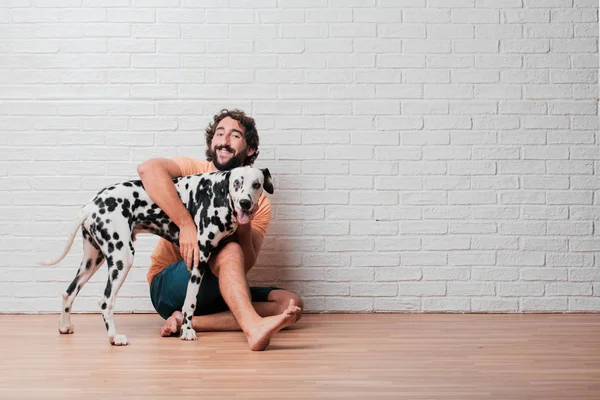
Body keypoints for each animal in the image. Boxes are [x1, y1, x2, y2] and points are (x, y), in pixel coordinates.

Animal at [41, 167, 276, 346]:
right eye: (237, 183)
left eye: (256, 184)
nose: (245, 202)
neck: (219, 195)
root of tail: (92, 204)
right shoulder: (198, 260)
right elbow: (190, 301)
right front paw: (187, 330)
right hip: (122, 258)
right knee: (106, 301)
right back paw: (114, 337)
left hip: (92, 261)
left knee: (68, 292)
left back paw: (64, 326)